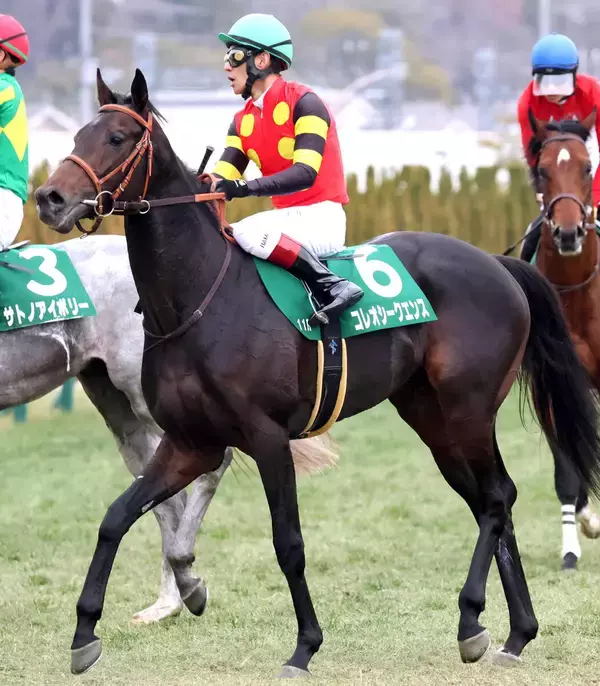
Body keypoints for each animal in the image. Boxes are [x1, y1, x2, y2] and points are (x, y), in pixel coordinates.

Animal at [35, 68, 600, 677]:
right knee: (490, 501)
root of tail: (497, 263)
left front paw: (304, 646)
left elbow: (289, 544)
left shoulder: (267, 438)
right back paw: (516, 633)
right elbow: (116, 517)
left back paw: (472, 619)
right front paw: (86, 631)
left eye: (117, 138)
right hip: (432, 418)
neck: (198, 299)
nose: (49, 198)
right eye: (79, 133)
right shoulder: (191, 442)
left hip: (468, 409)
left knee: (497, 498)